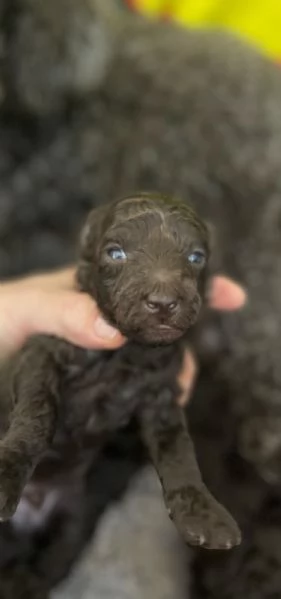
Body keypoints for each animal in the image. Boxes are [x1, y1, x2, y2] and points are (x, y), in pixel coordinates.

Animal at [0, 192, 240, 552]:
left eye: (196, 257)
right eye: (115, 253)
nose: (163, 302)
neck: (129, 351)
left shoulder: (161, 394)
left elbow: (178, 448)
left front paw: (202, 511)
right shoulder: (42, 353)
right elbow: (37, 414)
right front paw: (6, 474)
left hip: (73, 518)